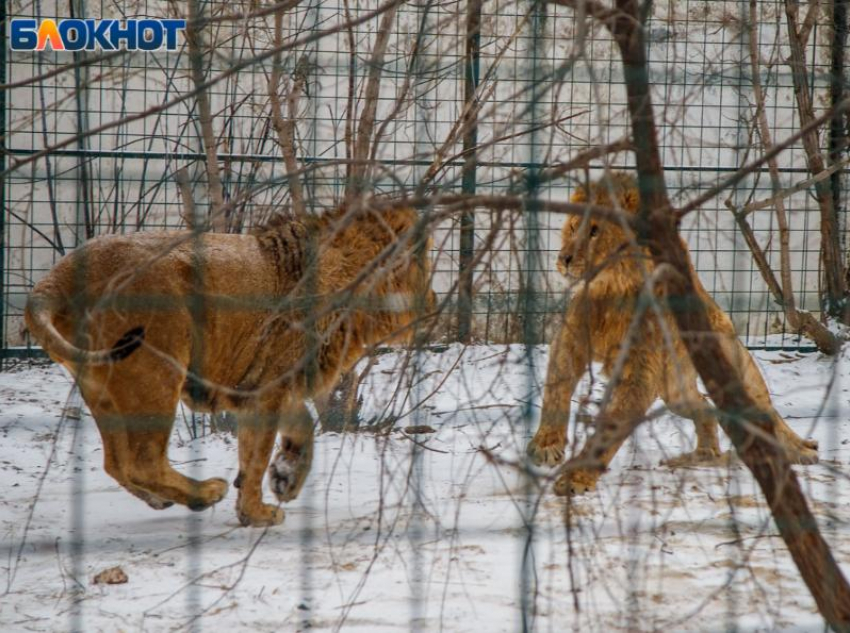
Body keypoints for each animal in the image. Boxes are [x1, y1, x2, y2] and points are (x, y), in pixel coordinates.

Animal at [24, 205, 438, 524]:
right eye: (424, 266)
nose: (435, 301)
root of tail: (54, 279)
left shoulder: (267, 383)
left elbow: (300, 427)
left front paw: (286, 477)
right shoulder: (268, 387)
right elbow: (255, 455)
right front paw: (256, 513)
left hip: (103, 388)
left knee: (116, 462)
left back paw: (168, 498)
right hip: (153, 373)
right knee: (141, 460)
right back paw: (205, 492)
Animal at [528, 173, 820, 494]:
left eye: (595, 231)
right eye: (572, 227)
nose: (564, 258)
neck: (614, 287)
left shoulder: (640, 372)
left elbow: (610, 427)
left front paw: (576, 477)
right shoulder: (572, 340)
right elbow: (556, 390)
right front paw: (546, 445)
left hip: (727, 371)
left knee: (765, 412)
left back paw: (799, 451)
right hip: (675, 391)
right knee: (705, 407)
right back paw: (703, 454)